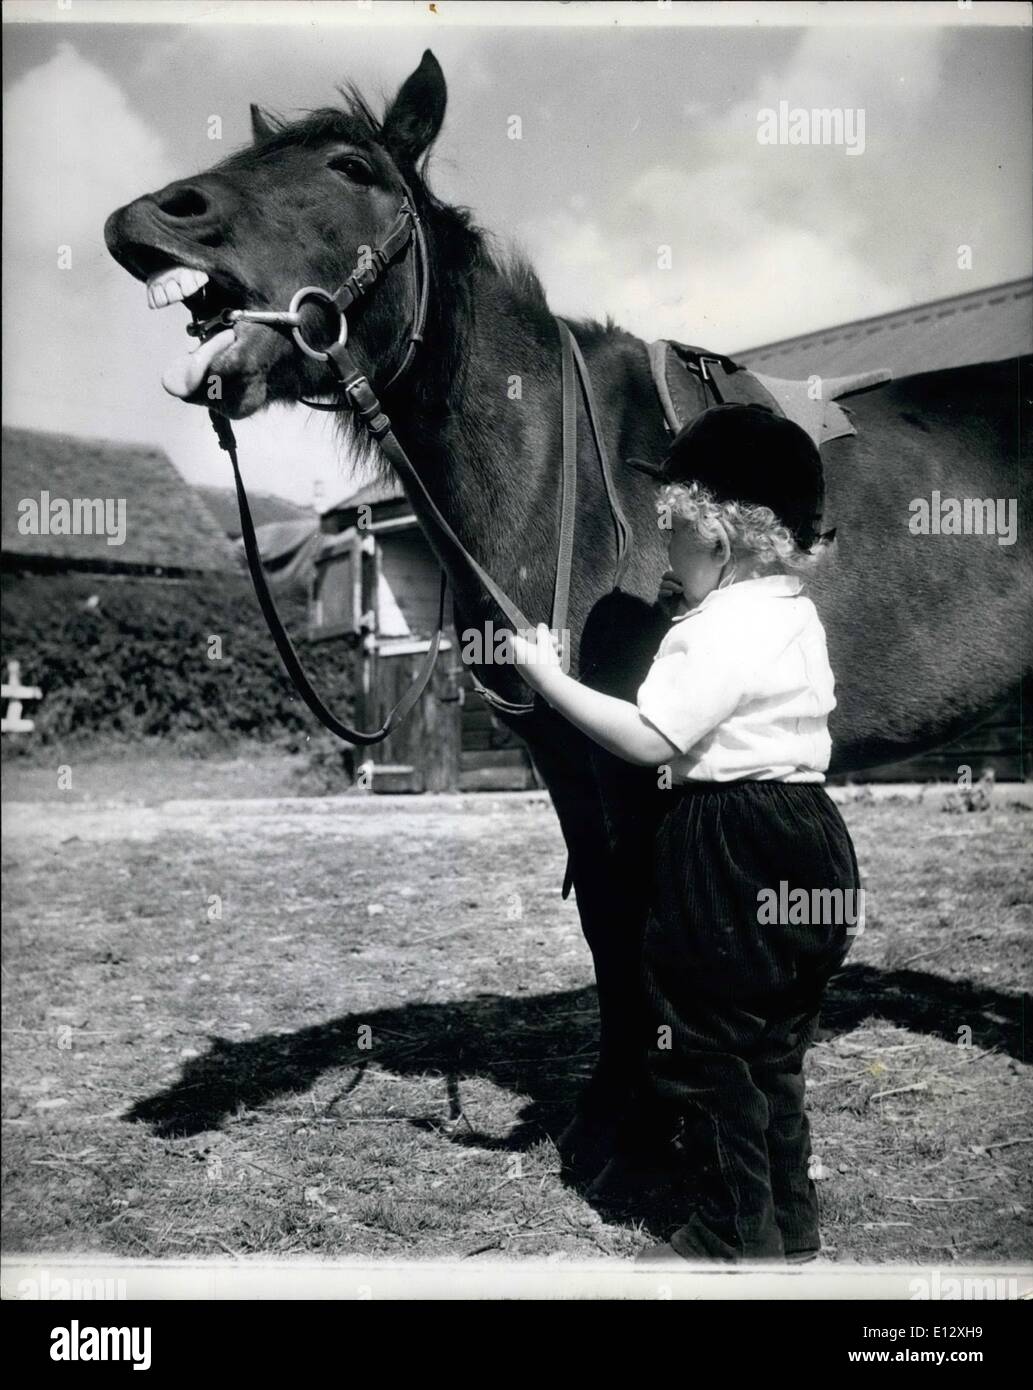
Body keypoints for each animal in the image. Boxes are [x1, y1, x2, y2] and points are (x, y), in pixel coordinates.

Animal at [107, 46, 1033, 1173]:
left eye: (349, 166)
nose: (147, 220)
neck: (563, 469)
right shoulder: (565, 754)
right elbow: (602, 917)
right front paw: (606, 1114)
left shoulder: (637, 754)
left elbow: (635, 919)